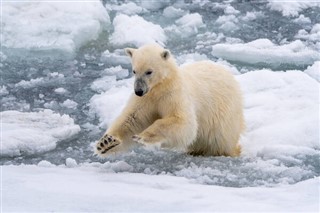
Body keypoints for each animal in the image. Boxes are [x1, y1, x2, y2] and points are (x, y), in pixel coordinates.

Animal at [95, 43, 245, 156]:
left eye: (149, 71)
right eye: (134, 71)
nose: (138, 91)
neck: (160, 86)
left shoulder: (174, 94)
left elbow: (183, 122)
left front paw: (141, 136)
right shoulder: (147, 98)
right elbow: (132, 118)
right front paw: (106, 143)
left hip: (224, 117)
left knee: (221, 139)